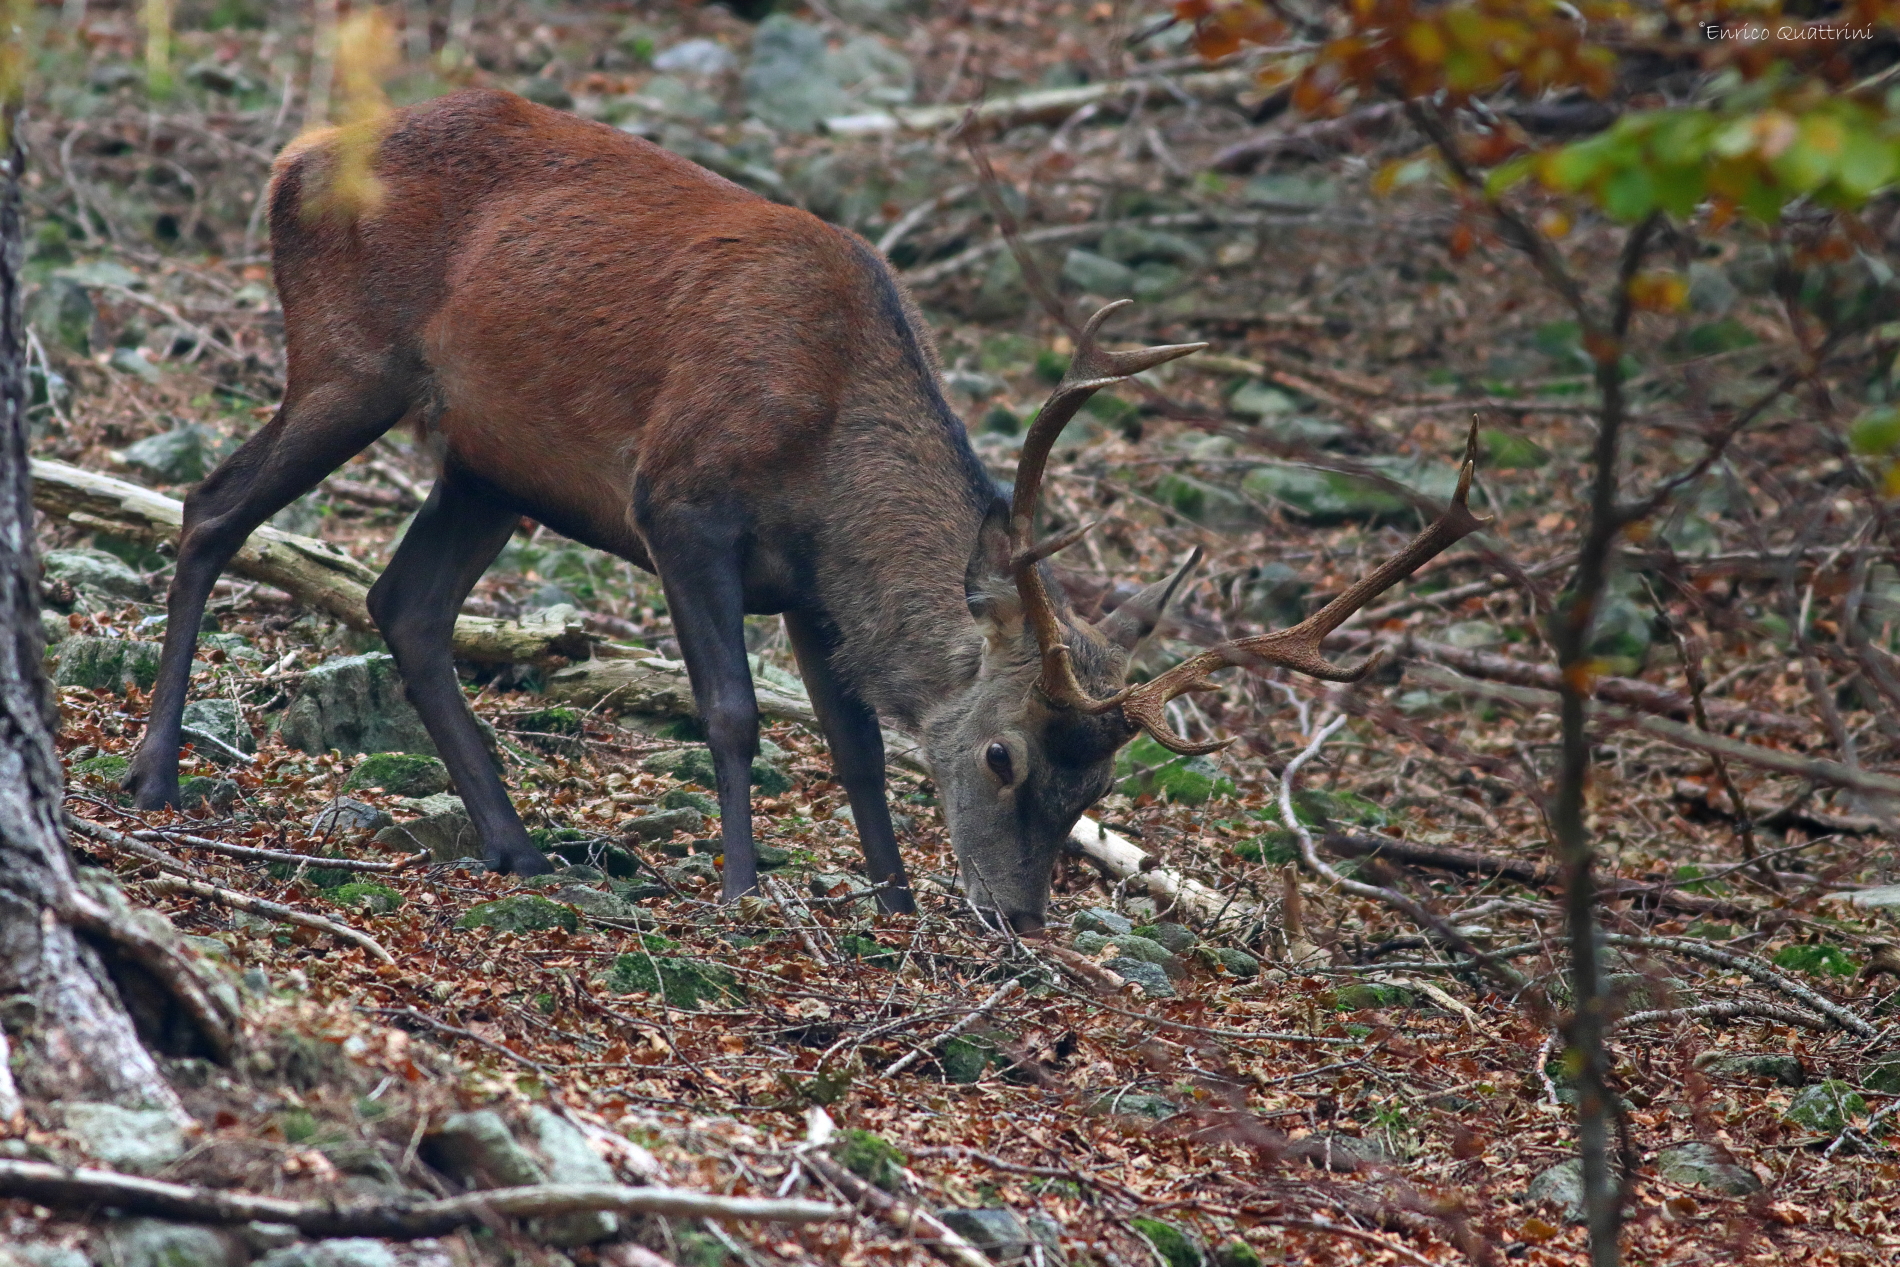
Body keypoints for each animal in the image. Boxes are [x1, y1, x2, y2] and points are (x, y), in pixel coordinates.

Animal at [123, 89, 1487, 934]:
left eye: (1095, 787)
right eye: (1004, 754)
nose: (1016, 916)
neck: (831, 444)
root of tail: (295, 155)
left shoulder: (812, 588)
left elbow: (858, 747)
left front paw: (890, 900)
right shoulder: (678, 504)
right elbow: (731, 714)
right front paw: (741, 889)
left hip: (487, 463)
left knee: (403, 603)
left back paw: (515, 842)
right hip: (345, 363)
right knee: (209, 510)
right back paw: (155, 773)